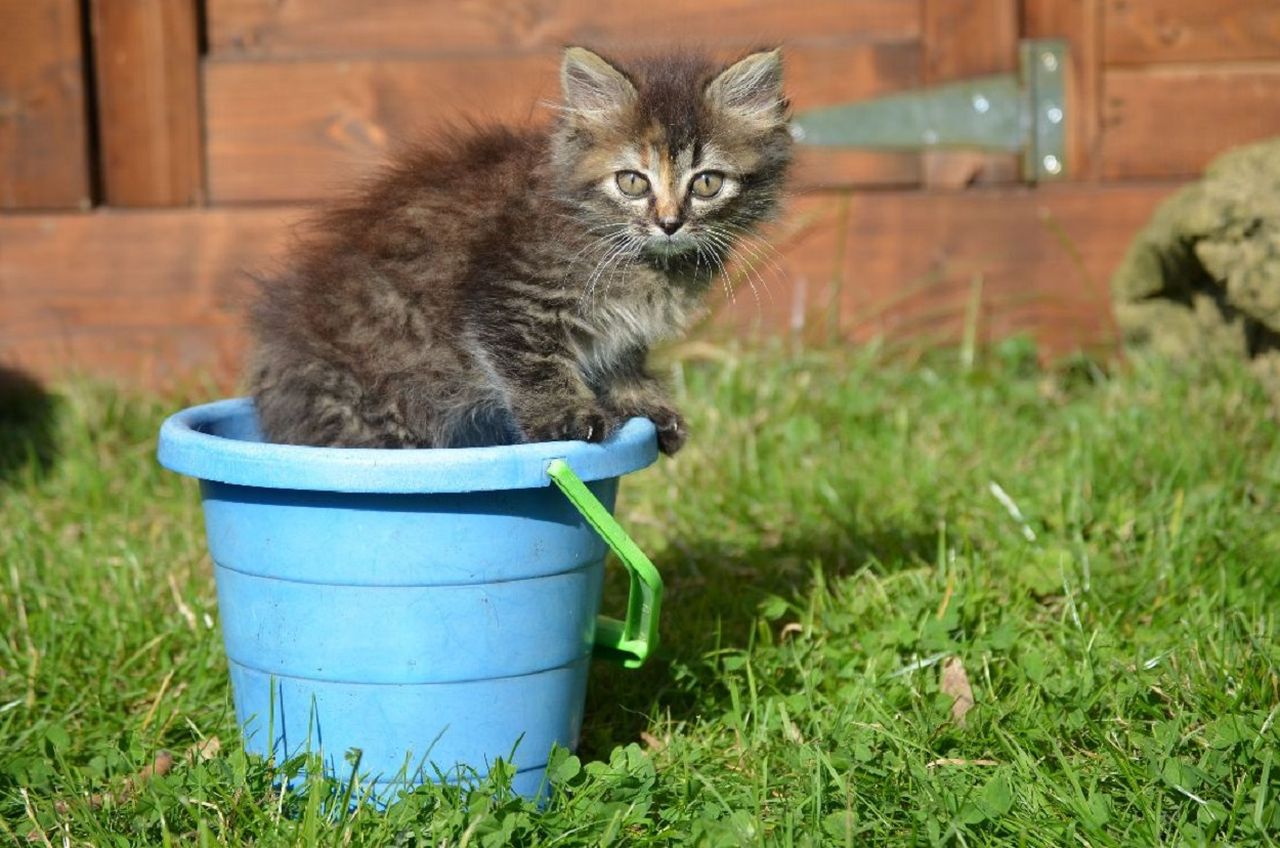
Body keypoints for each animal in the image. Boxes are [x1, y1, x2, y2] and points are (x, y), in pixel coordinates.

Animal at [244, 46, 788, 456]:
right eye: (633, 181)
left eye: (707, 183)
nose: (669, 223)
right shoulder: (508, 294)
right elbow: (536, 364)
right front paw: (568, 417)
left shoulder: (620, 333)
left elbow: (621, 364)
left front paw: (646, 406)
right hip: (371, 413)